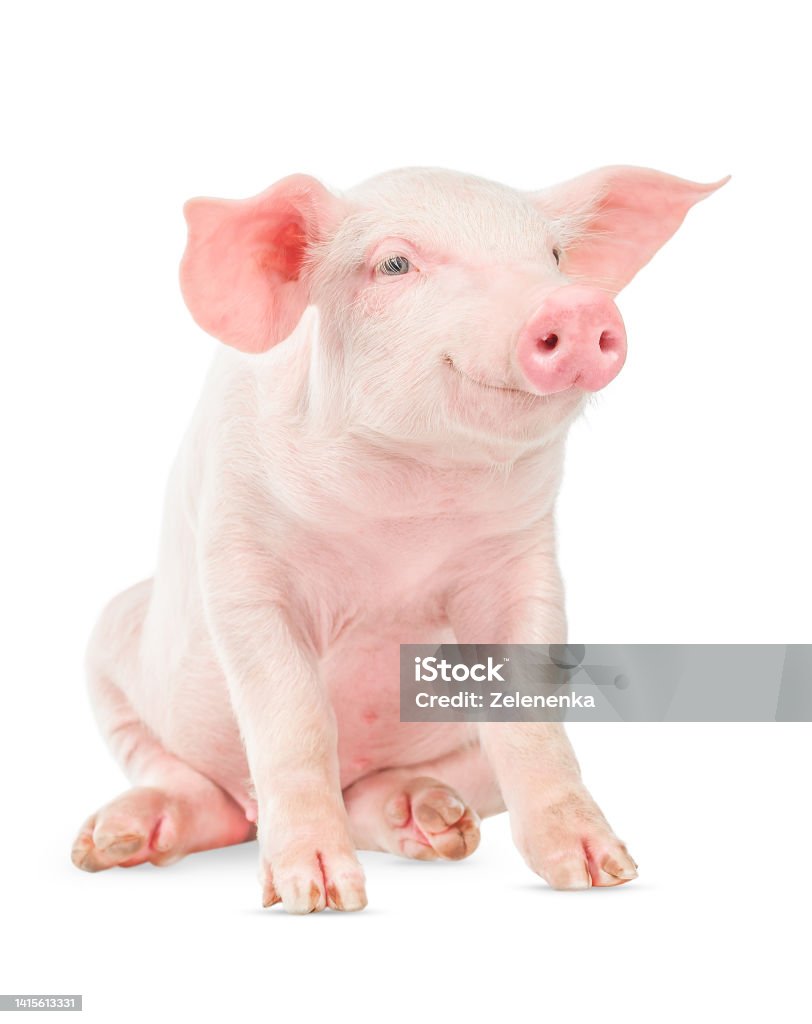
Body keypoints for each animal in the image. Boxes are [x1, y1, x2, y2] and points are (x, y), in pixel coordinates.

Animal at [72, 161, 724, 913]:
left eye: (554, 257)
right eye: (393, 264)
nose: (577, 308)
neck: (403, 516)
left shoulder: (523, 563)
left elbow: (528, 716)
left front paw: (604, 872)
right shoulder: (239, 550)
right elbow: (293, 712)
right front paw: (318, 896)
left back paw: (435, 822)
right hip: (110, 640)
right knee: (190, 783)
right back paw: (111, 843)